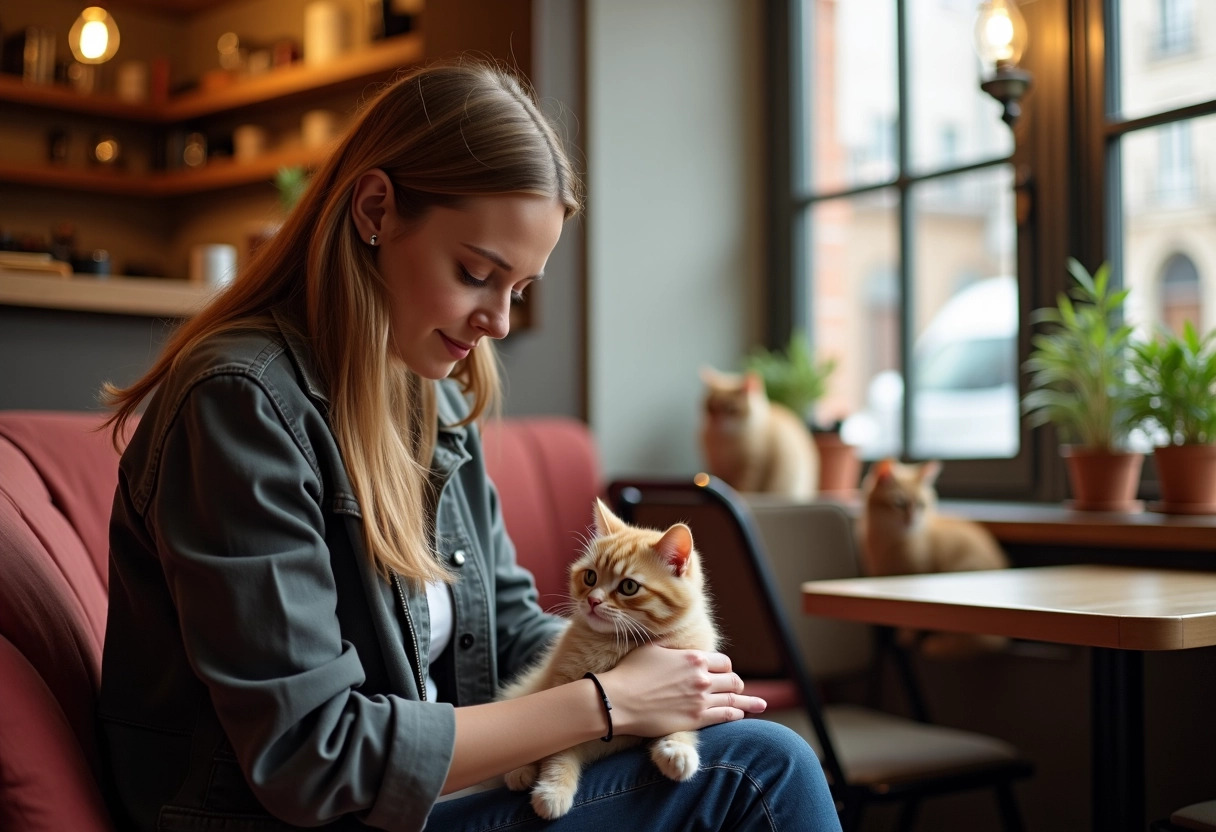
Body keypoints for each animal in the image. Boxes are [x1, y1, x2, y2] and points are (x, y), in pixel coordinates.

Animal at [700, 369, 822, 501]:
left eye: (731, 409)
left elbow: (745, 486)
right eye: (710, 407)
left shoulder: (754, 467)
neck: (724, 441)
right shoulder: (717, 469)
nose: (716, 421)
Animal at [860, 457, 1011, 661]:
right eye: (899, 503)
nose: (911, 520)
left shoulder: (918, 575)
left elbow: (911, 622)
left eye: (921, 505)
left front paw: (907, 635)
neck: (890, 541)